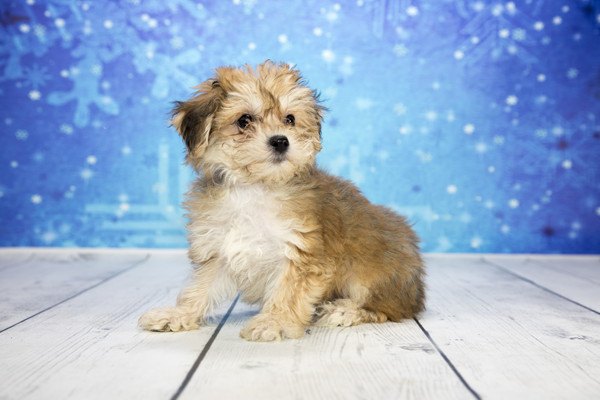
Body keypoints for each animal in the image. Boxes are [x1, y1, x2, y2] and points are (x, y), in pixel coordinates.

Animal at [138, 61, 424, 342]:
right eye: (244, 120)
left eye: (290, 119)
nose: (280, 141)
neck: (255, 187)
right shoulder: (220, 249)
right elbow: (200, 287)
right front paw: (178, 314)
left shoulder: (301, 253)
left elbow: (288, 293)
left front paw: (273, 322)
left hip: (373, 276)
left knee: (387, 308)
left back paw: (344, 310)